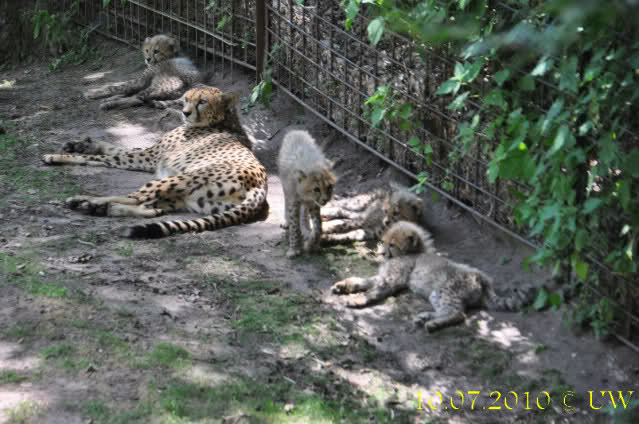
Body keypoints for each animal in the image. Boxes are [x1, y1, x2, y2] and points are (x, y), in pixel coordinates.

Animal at [42, 87, 268, 238]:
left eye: (202, 101)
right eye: (186, 99)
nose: (185, 112)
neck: (222, 121)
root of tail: (258, 184)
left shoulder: (150, 157)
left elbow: (105, 157)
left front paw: (57, 156)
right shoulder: (150, 156)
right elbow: (113, 147)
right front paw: (80, 144)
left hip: (179, 180)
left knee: (135, 197)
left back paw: (88, 201)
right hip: (190, 199)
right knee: (148, 203)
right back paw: (111, 209)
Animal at [278, 130, 336, 258]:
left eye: (329, 187)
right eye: (316, 189)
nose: (325, 199)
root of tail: (296, 131)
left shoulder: (314, 204)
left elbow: (318, 226)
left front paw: (311, 244)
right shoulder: (294, 201)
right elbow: (294, 225)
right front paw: (294, 249)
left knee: (304, 212)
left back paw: (306, 229)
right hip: (286, 188)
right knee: (287, 202)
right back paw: (287, 222)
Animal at [331, 221, 534, 332]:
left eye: (393, 245)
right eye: (383, 241)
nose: (380, 253)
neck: (412, 253)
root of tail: (482, 278)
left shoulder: (390, 280)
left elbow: (372, 291)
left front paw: (357, 300)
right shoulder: (383, 276)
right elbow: (361, 281)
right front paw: (344, 286)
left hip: (445, 291)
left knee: (458, 314)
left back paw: (433, 324)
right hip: (436, 294)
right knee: (450, 311)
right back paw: (426, 318)